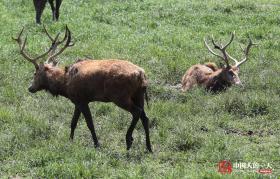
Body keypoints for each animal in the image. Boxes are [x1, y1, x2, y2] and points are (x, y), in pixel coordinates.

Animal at [12, 25, 152, 152]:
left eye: (35, 73)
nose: (30, 88)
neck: (65, 85)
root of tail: (141, 74)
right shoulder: (76, 101)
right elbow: (73, 122)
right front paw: (70, 141)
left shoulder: (82, 100)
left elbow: (89, 123)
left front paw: (96, 144)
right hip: (138, 95)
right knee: (145, 117)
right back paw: (149, 147)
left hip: (120, 96)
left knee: (137, 112)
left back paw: (129, 140)